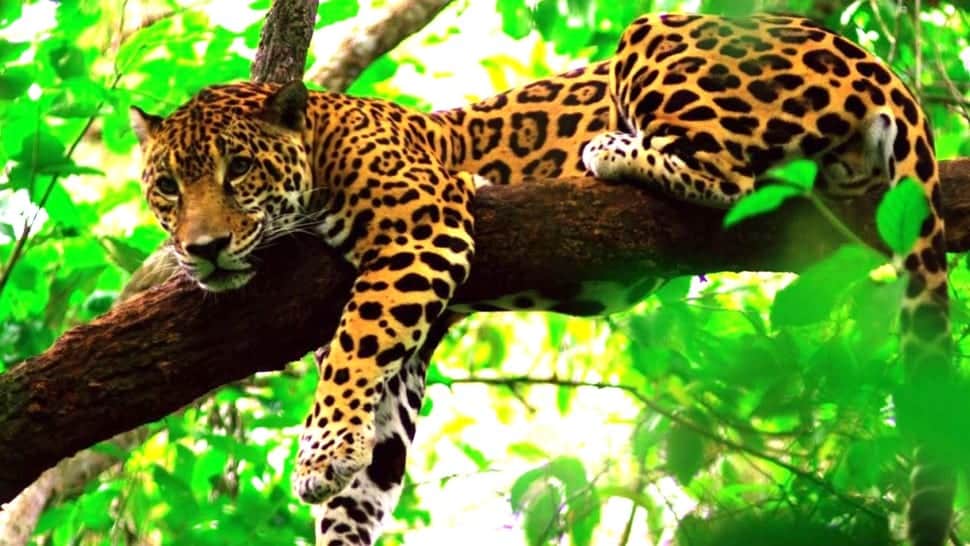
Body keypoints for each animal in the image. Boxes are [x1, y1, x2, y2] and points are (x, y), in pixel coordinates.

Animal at [129, 12, 951, 546]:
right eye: (167, 186)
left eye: (239, 171)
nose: (203, 248)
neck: (324, 142)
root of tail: (873, 61)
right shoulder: (415, 325)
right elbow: (373, 446)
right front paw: (342, 482)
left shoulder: (421, 229)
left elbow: (352, 354)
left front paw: (321, 454)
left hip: (656, 39)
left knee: (729, 177)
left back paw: (612, 151)